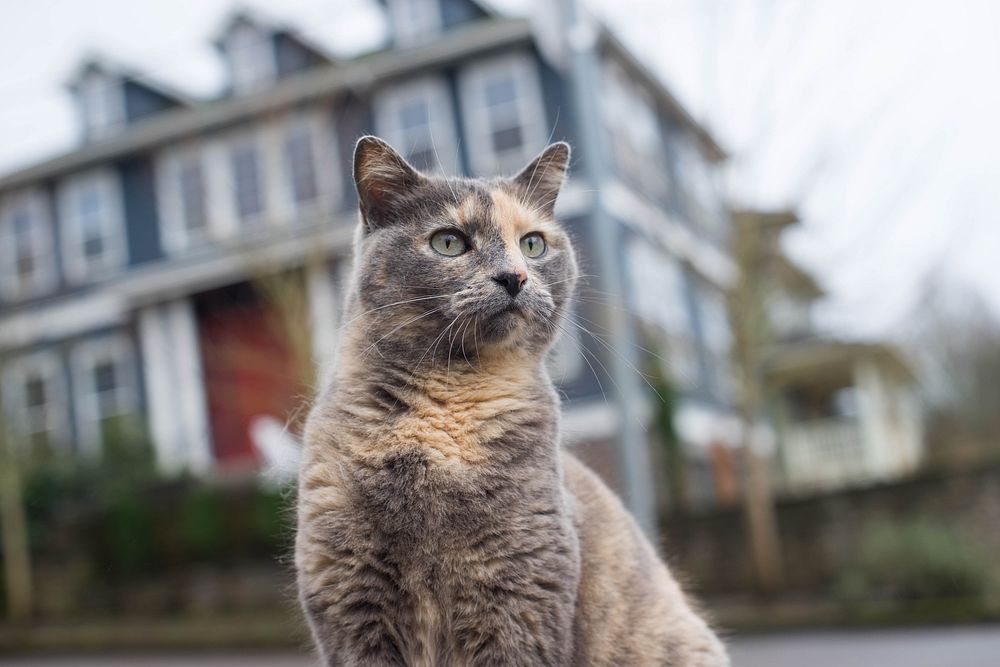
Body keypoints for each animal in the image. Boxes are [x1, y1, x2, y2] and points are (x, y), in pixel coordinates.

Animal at [294, 137, 728, 667]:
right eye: (449, 242)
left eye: (533, 244)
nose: (514, 277)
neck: (448, 413)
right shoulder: (349, 597)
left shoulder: (522, 594)